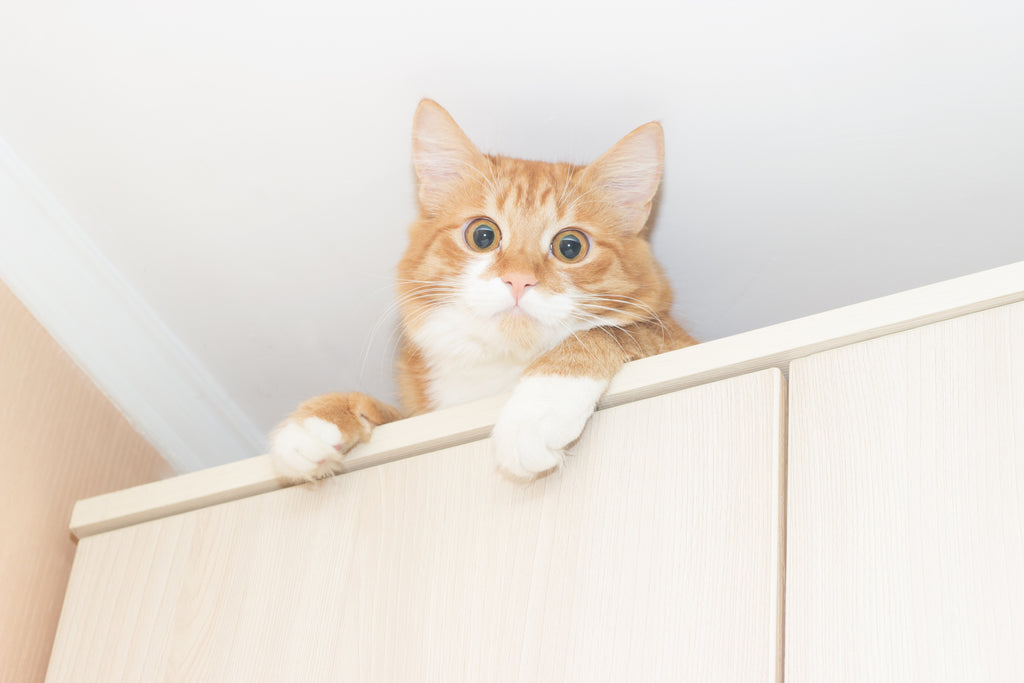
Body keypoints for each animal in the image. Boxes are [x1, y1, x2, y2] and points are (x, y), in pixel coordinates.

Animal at [268, 98, 696, 481]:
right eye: (483, 236)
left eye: (571, 247)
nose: (519, 279)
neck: (501, 368)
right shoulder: (421, 418)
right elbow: (390, 416)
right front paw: (321, 417)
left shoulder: (679, 343)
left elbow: (605, 333)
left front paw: (537, 408)